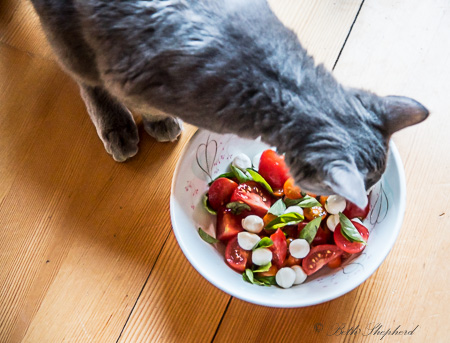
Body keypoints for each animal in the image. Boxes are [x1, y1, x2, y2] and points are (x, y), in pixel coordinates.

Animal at [29, 0, 428, 207]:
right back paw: (117, 128)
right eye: (368, 182)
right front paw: (159, 120)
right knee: (81, 73)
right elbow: (139, 100)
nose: (368, 197)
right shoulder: (128, 75)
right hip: (65, 28)